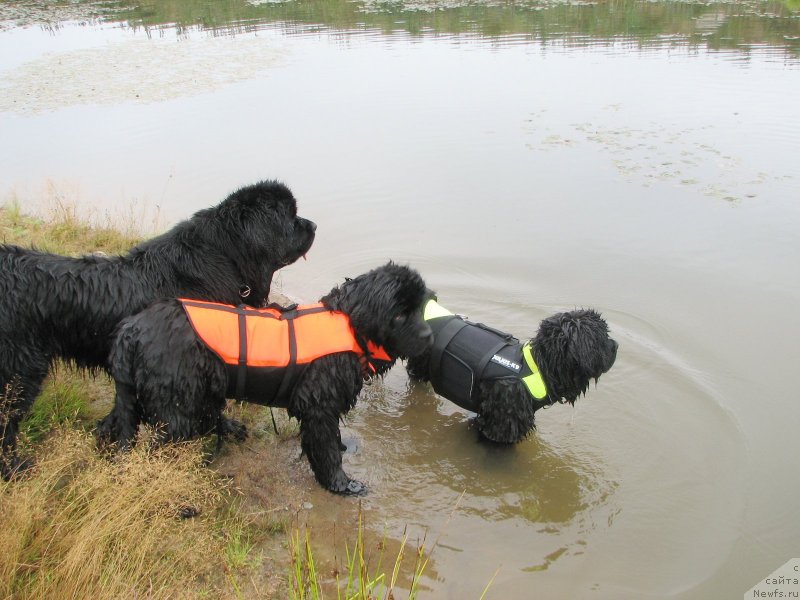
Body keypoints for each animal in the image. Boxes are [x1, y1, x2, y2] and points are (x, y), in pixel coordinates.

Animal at [0, 180, 316, 480]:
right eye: (290, 216)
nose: (313, 225)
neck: (227, 258)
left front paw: (107, 437)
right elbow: (211, 405)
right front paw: (227, 428)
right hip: (20, 371)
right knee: (7, 423)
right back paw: (15, 468)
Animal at [97, 262, 434, 496]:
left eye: (422, 307)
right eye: (399, 315)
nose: (430, 336)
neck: (349, 327)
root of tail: (132, 328)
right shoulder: (319, 406)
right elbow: (324, 448)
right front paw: (342, 485)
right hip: (176, 400)